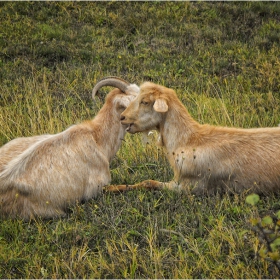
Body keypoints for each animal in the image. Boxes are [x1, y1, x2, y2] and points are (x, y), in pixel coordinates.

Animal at [104, 81, 280, 195]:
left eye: (145, 101)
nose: (123, 117)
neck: (189, 141)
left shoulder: (188, 186)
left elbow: (149, 182)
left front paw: (110, 188)